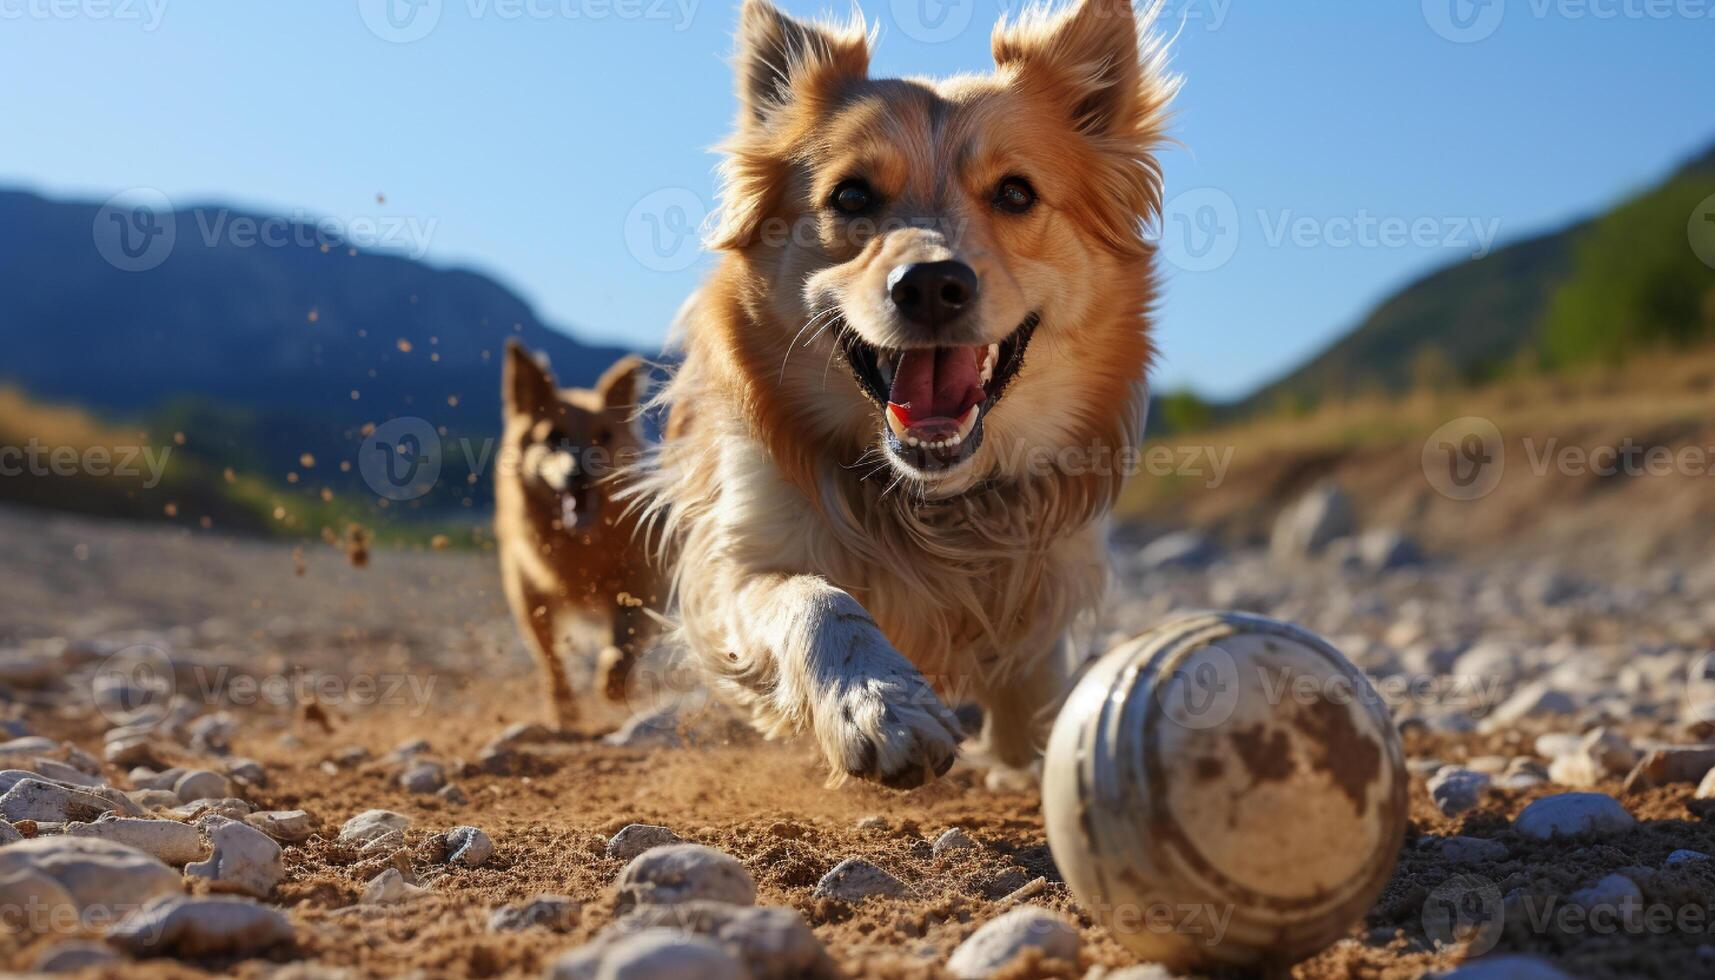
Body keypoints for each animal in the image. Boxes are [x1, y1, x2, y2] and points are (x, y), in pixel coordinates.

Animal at [497, 341, 661, 724]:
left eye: (606, 436)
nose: (581, 471)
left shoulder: (641, 582)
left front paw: (614, 684)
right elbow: (551, 659)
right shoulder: (529, 596)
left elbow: (625, 639)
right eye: (553, 436)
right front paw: (564, 710)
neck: (583, 545)